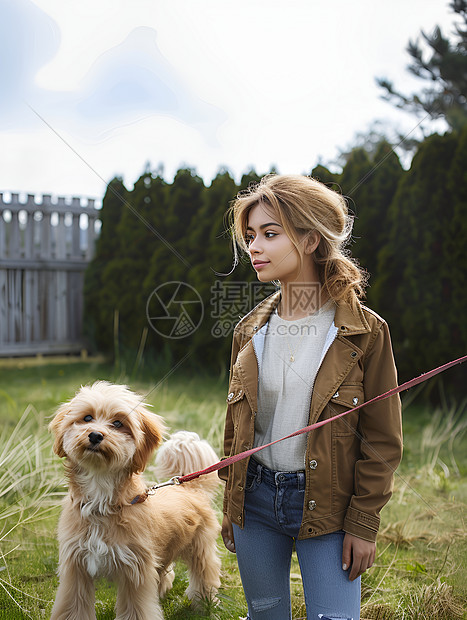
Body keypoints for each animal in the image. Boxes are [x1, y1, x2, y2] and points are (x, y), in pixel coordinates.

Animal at [49, 382, 221, 620]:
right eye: (87, 418)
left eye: (118, 423)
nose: (95, 435)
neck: (101, 498)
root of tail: (187, 485)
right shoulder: (76, 566)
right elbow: (73, 606)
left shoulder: (135, 568)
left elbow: (136, 608)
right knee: (165, 572)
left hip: (199, 547)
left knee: (205, 573)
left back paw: (205, 605)